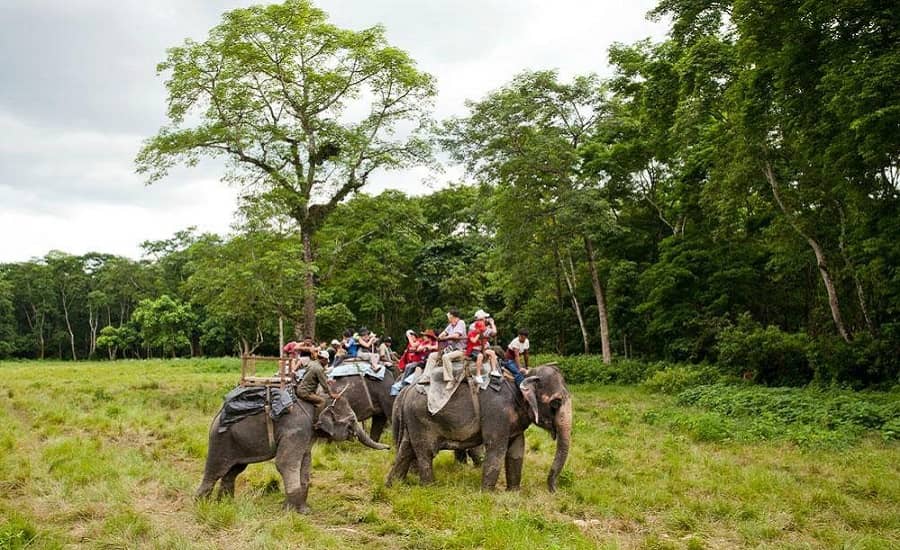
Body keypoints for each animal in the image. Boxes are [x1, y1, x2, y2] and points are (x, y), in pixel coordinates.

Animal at [197, 394, 386, 516]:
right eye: (352, 421)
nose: (389, 447)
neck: (319, 401)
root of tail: (216, 417)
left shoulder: (307, 433)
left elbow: (305, 460)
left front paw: (303, 510)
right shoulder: (296, 429)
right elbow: (285, 463)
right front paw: (292, 513)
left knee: (233, 472)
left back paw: (226, 504)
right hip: (221, 441)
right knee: (215, 472)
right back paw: (201, 505)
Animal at [384, 366, 568, 492]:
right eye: (556, 403)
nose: (554, 491)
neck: (521, 378)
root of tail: (407, 391)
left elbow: (516, 450)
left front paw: (514, 492)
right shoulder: (497, 414)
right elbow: (496, 449)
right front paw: (487, 494)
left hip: (413, 422)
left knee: (406, 449)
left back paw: (394, 485)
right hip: (422, 421)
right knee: (425, 453)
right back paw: (430, 487)